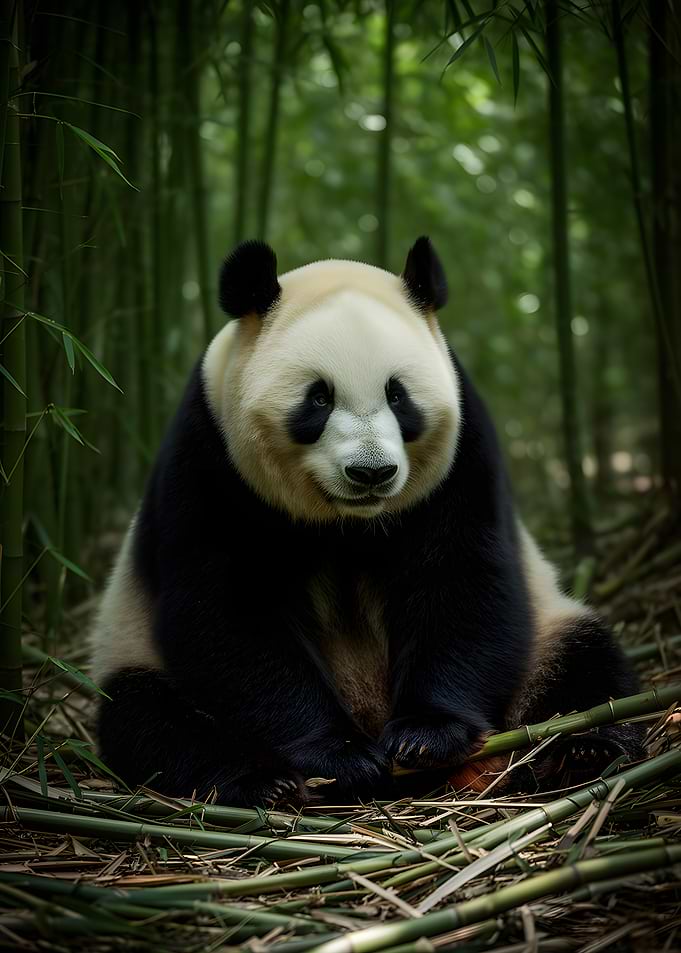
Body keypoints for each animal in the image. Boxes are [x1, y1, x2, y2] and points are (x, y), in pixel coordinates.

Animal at [91, 237, 643, 805]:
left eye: (397, 395)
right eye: (318, 397)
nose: (371, 472)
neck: (348, 522)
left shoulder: (463, 457)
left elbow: (462, 578)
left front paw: (427, 734)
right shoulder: (208, 459)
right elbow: (227, 612)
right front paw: (339, 754)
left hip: (547, 632)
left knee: (583, 664)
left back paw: (582, 750)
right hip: (135, 653)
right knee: (153, 719)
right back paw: (261, 782)